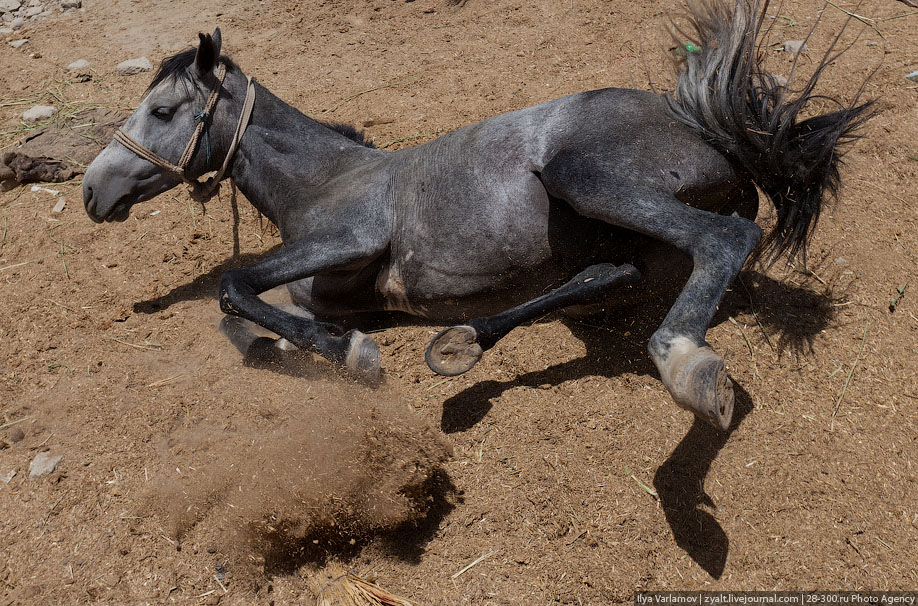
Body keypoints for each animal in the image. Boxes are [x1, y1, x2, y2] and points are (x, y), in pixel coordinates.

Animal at [82, 0, 872, 432]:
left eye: (162, 112)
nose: (93, 192)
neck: (324, 179)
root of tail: (714, 132)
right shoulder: (320, 291)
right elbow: (245, 326)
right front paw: (331, 347)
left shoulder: (350, 237)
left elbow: (233, 287)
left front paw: (353, 355)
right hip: (620, 241)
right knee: (608, 272)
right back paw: (462, 342)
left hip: (585, 178)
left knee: (726, 239)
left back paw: (689, 366)